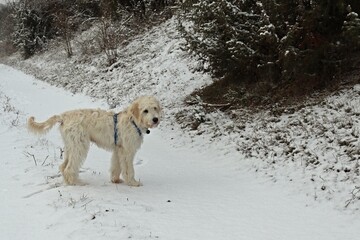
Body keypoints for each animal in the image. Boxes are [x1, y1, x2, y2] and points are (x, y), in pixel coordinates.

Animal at [27, 95, 162, 186]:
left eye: (155, 108)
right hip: (80, 146)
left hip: (71, 146)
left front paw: (116, 180)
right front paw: (133, 182)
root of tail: (64, 116)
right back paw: (77, 182)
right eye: (145, 110)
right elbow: (129, 169)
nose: (155, 119)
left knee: (63, 166)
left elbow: (116, 166)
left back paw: (69, 181)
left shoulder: (118, 150)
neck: (133, 120)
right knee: (69, 168)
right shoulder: (127, 151)